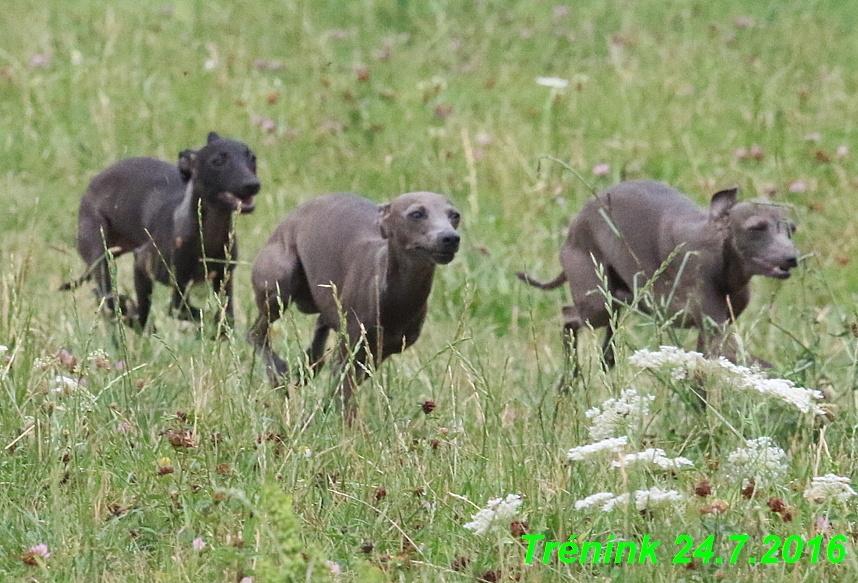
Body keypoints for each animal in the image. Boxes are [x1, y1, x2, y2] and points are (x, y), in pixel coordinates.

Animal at [63, 133, 260, 334]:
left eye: (252, 158)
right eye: (217, 161)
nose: (252, 185)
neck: (205, 236)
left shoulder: (223, 276)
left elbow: (224, 316)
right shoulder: (143, 264)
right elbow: (166, 311)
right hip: (99, 250)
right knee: (108, 296)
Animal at [247, 192, 462, 416]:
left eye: (455, 215)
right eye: (417, 213)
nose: (451, 238)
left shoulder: (378, 353)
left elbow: (342, 388)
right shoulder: (350, 350)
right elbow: (345, 393)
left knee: (321, 324)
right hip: (280, 284)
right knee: (256, 333)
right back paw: (279, 372)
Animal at [520, 178, 800, 372]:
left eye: (791, 229)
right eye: (757, 228)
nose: (792, 258)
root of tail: (573, 230)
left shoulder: (711, 332)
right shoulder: (715, 328)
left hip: (620, 297)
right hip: (595, 302)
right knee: (569, 317)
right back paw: (570, 379)